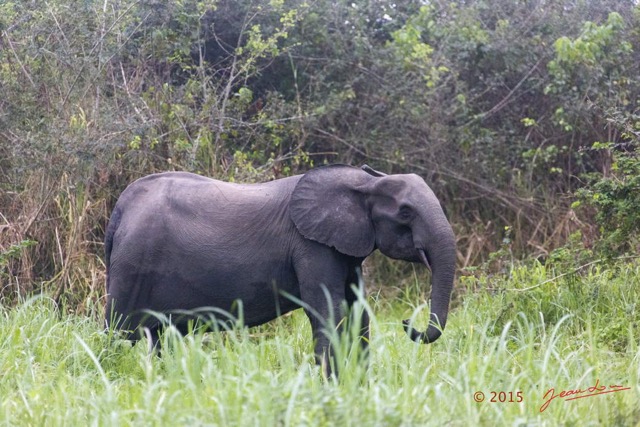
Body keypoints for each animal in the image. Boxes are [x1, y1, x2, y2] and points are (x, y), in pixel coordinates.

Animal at [104, 166, 456, 376]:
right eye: (406, 212)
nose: (408, 322)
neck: (365, 183)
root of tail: (121, 208)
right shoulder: (310, 246)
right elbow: (329, 310)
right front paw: (332, 384)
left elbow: (358, 312)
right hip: (133, 264)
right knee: (117, 331)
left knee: (159, 336)